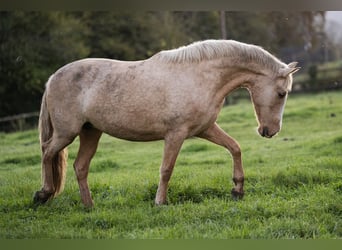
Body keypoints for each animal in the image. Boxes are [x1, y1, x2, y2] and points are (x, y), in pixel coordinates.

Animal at [32, 39, 300, 207]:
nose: (270, 131)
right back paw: (43, 194)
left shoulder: (205, 129)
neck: (199, 76)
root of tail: (52, 78)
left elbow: (235, 147)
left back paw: (89, 206)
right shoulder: (176, 134)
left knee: (80, 167)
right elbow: (166, 169)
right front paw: (160, 202)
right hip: (67, 133)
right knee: (47, 152)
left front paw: (237, 190)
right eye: (281, 93)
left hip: (91, 132)